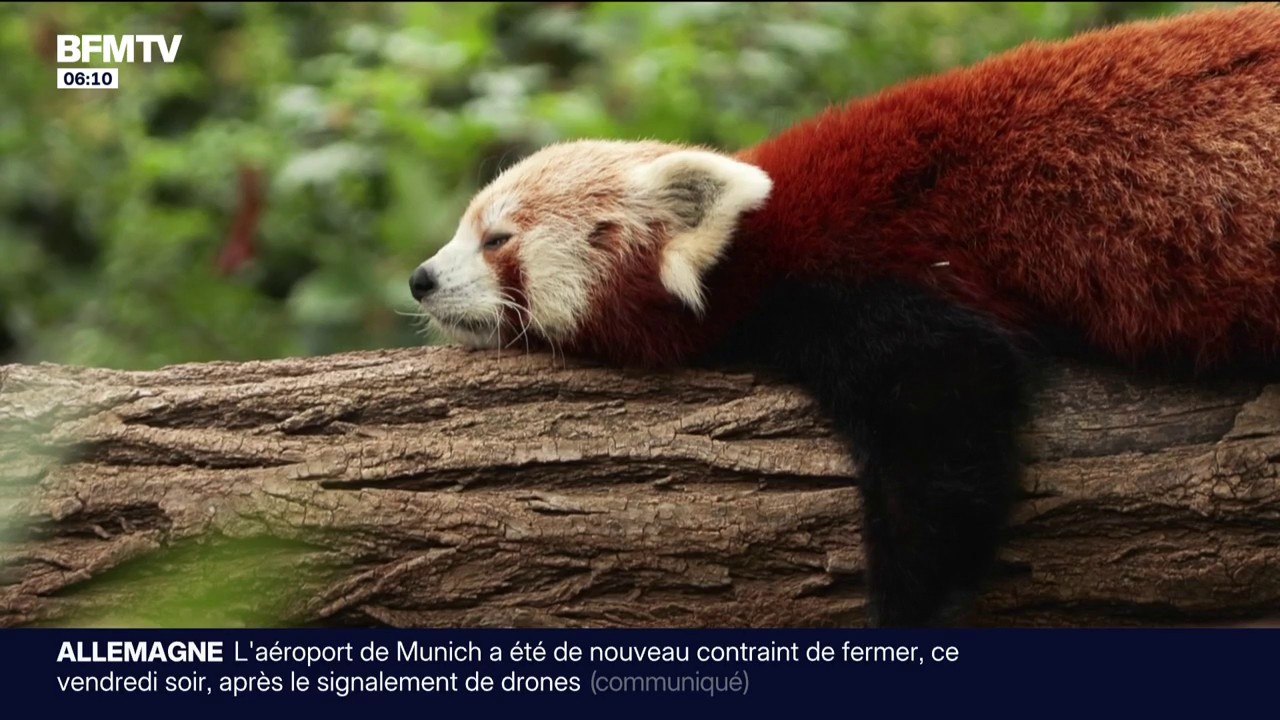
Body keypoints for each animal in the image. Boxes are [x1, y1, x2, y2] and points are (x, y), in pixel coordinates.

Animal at [409, 4, 1280, 626]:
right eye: (467, 229)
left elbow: (947, 407)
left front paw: (911, 603)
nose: (421, 279)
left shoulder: (873, 272)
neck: (760, 237)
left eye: (496, 239)